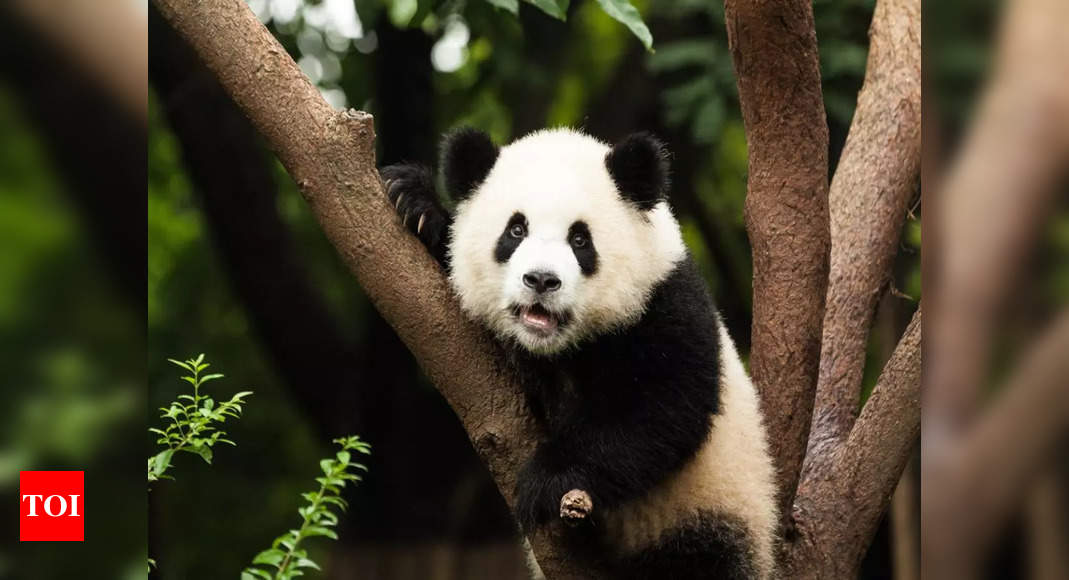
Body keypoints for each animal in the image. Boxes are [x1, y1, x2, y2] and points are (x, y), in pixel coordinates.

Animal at [382, 128, 778, 580]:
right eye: (515, 231)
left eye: (579, 239)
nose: (541, 279)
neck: (558, 347)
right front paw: (415, 203)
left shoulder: (665, 303)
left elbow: (662, 410)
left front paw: (546, 481)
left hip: (708, 512)